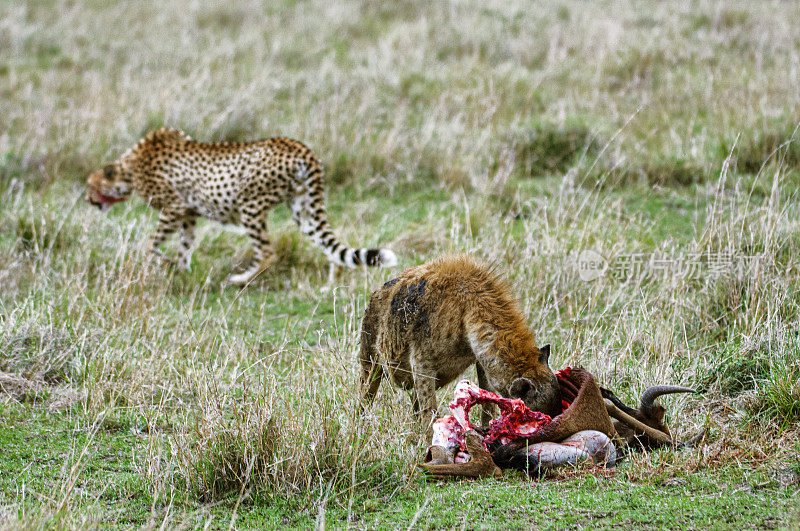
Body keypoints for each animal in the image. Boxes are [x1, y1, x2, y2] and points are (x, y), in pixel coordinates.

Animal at [85, 128, 396, 286]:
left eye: (91, 185)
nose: (88, 199)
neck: (131, 166)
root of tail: (299, 146)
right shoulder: (187, 215)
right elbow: (184, 246)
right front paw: (181, 271)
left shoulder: (173, 208)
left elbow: (151, 244)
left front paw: (163, 262)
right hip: (304, 210)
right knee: (330, 246)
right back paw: (332, 281)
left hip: (250, 205)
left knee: (268, 253)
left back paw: (239, 279)